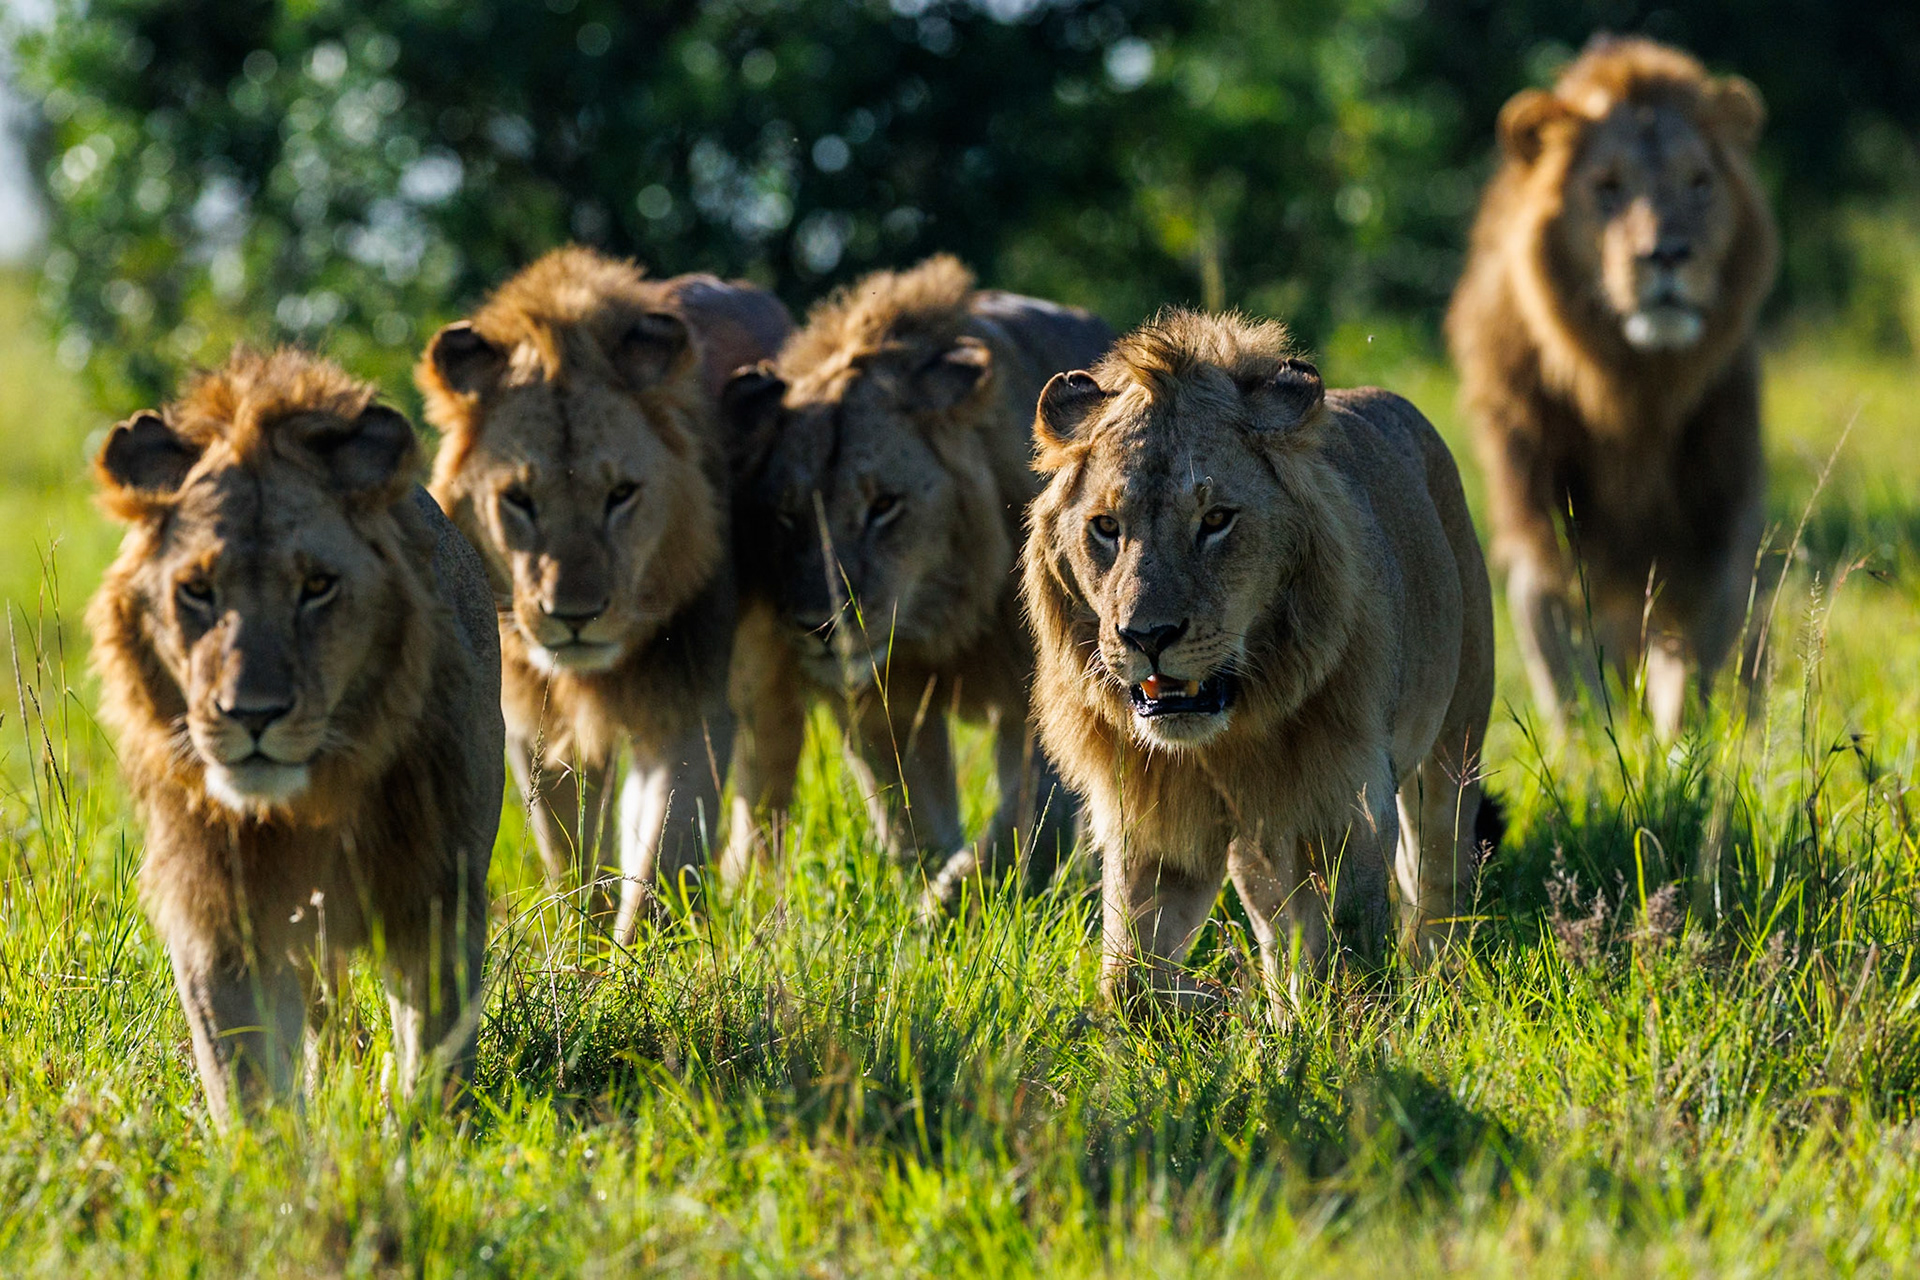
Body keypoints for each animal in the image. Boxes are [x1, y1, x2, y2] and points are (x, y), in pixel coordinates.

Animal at [86, 347, 504, 1127]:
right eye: (196, 590)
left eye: (317, 586)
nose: (253, 713)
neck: (313, 800)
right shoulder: (223, 917)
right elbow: (244, 1077)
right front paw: (278, 1152)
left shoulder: (436, 886)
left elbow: (433, 1044)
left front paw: (419, 1133)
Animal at [418, 246, 790, 942]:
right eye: (518, 498)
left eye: (622, 494)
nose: (575, 617)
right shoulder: (533, 721)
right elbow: (568, 855)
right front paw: (579, 946)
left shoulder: (690, 704)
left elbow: (664, 857)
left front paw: (635, 959)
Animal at [722, 255, 1113, 903]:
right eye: (786, 515)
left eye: (884, 506)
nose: (817, 627)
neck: (944, 616)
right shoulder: (887, 707)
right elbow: (914, 822)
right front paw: (927, 900)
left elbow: (1029, 818)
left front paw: (955, 900)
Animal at [1021, 310, 1495, 1009]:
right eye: (1106, 527)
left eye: (1216, 519)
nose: (1146, 634)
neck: (1228, 739)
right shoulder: (1154, 822)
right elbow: (1130, 973)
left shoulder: (1346, 799)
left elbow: (1349, 948)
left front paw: (1336, 1020)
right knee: (1274, 912)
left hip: (1455, 743)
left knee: (1438, 872)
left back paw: (1445, 975)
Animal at [1446, 36, 1778, 736]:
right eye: (1607, 188)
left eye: (1699, 183)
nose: (1667, 254)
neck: (1633, 393)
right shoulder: (1544, 543)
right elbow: (1575, 692)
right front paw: (1598, 752)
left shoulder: (1715, 540)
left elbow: (1697, 679)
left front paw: (1685, 753)